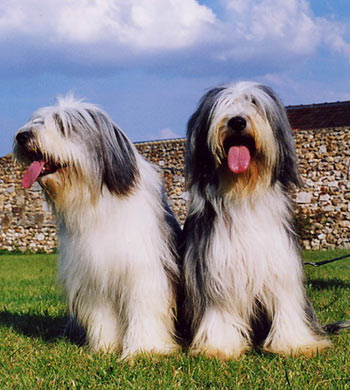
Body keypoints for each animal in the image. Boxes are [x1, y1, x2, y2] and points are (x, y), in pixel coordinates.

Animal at [13, 96, 180, 358]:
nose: (22, 136)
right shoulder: (94, 272)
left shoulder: (144, 271)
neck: (96, 201)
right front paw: (105, 347)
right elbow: (103, 314)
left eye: (63, 125)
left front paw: (144, 349)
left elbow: (144, 309)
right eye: (36, 120)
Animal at [180, 81, 330, 360]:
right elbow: (218, 308)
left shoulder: (280, 264)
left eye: (254, 103)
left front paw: (295, 343)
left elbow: (286, 304)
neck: (243, 193)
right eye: (224, 105)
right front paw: (219, 346)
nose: (237, 121)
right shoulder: (214, 267)